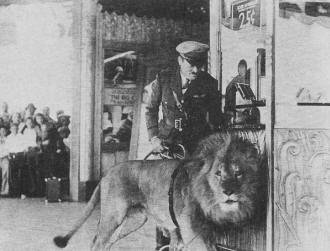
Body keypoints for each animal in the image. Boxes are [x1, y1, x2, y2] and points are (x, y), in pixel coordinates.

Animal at [52, 132, 266, 250]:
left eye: (238, 173)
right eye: (218, 173)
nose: (228, 192)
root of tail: (107, 173)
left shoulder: (200, 235)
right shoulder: (193, 235)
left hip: (134, 220)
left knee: (104, 243)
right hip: (113, 216)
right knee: (97, 243)